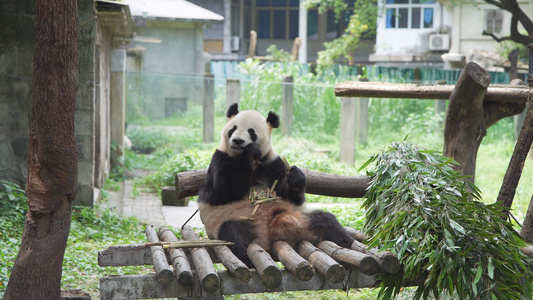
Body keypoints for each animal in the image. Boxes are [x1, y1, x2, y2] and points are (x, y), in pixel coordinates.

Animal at [197, 103, 352, 268]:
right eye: (233, 128)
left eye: (251, 131)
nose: (238, 141)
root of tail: (271, 233)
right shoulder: (220, 158)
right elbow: (224, 188)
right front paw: (250, 152)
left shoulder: (271, 163)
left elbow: (290, 195)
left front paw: (296, 177)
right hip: (232, 220)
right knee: (232, 234)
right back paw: (246, 260)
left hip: (301, 218)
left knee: (325, 219)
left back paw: (345, 241)